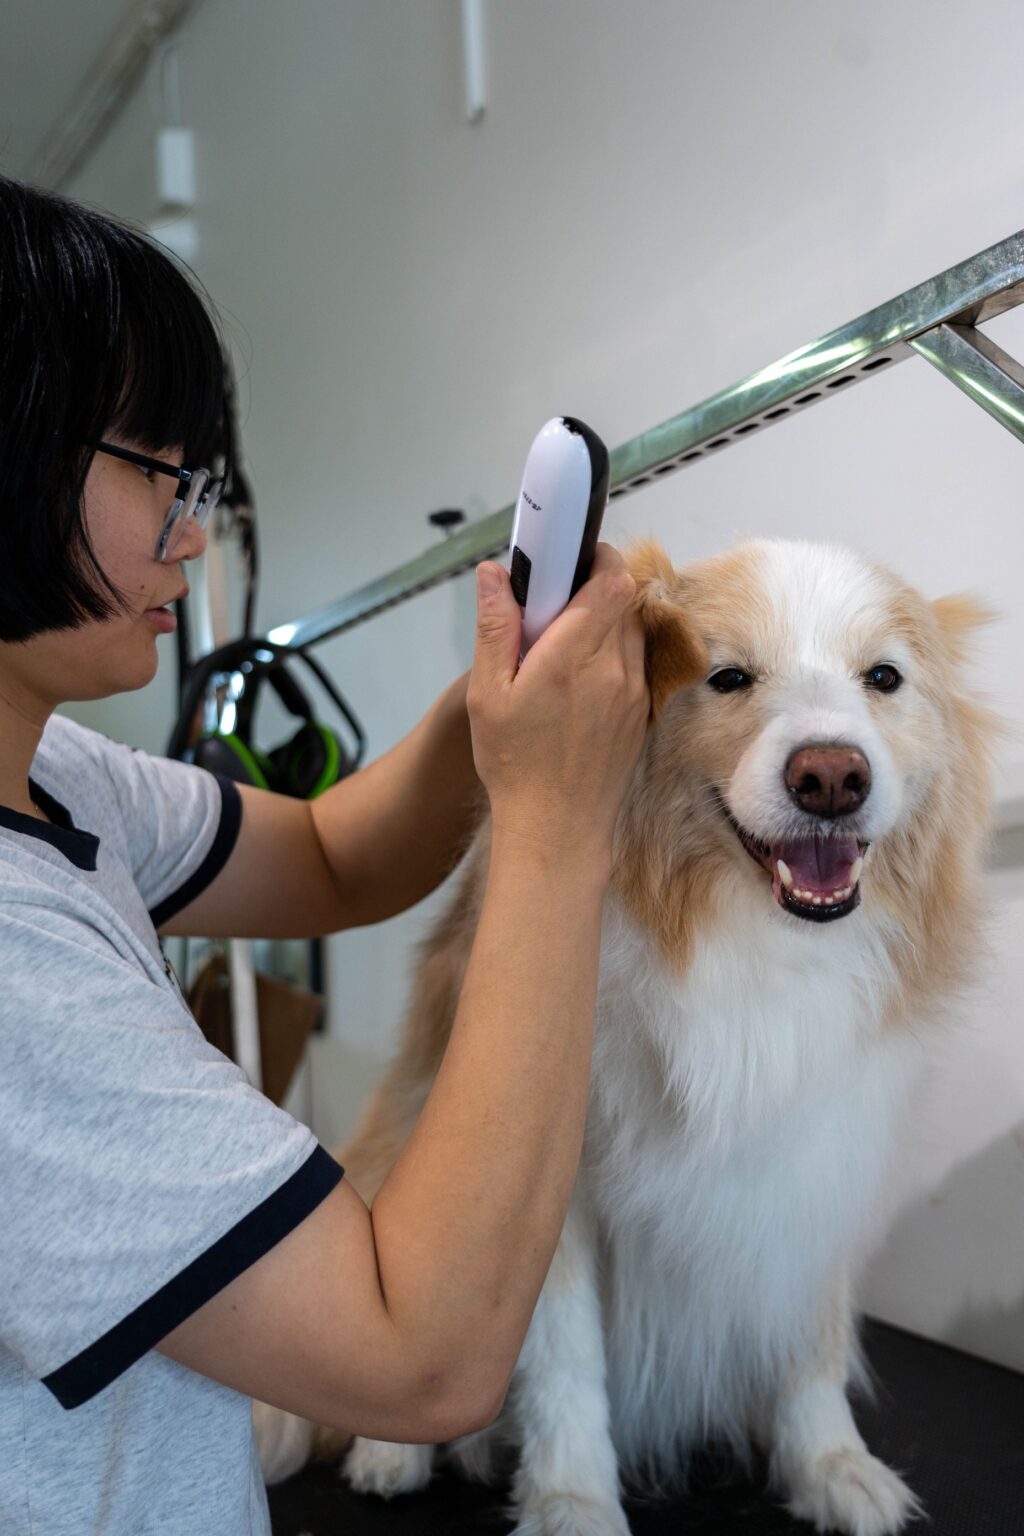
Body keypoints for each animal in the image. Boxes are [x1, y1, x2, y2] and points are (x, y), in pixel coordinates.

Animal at [257, 540, 1000, 1536]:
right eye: (727, 677)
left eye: (883, 677)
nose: (831, 777)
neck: (747, 940)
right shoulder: (554, 1192)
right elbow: (566, 1363)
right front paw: (573, 1499)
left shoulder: (819, 1156)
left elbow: (810, 1340)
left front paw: (831, 1465)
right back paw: (388, 1455)